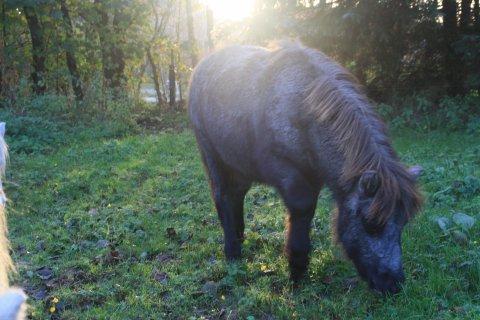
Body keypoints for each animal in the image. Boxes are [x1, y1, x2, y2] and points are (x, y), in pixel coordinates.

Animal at [189, 42, 422, 296]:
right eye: (371, 224)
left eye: (403, 222)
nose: (393, 284)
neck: (304, 107)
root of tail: (202, 65)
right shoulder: (289, 176)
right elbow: (302, 211)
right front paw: (296, 271)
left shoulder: (314, 178)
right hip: (212, 156)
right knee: (222, 197)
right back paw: (232, 253)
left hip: (239, 166)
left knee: (235, 196)